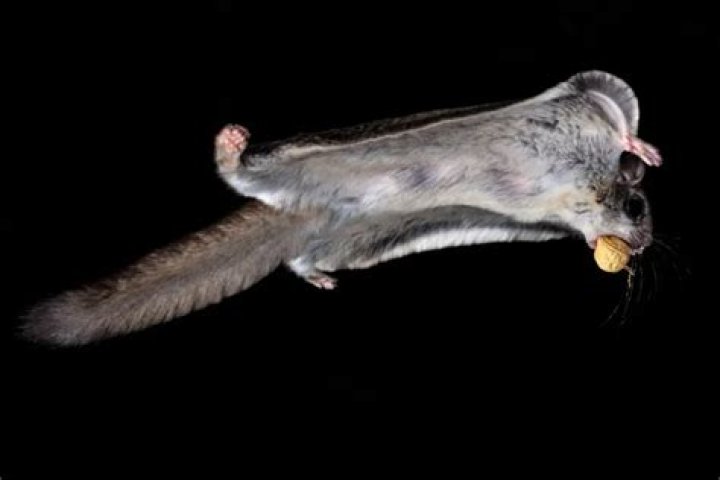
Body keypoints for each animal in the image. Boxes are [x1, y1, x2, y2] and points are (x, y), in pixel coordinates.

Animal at [22, 70, 661, 346]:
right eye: (636, 208)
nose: (642, 247)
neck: (573, 195)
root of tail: (312, 205)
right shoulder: (578, 105)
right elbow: (612, 108)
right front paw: (637, 146)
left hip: (364, 235)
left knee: (305, 258)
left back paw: (316, 275)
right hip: (297, 163)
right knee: (244, 176)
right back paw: (231, 148)